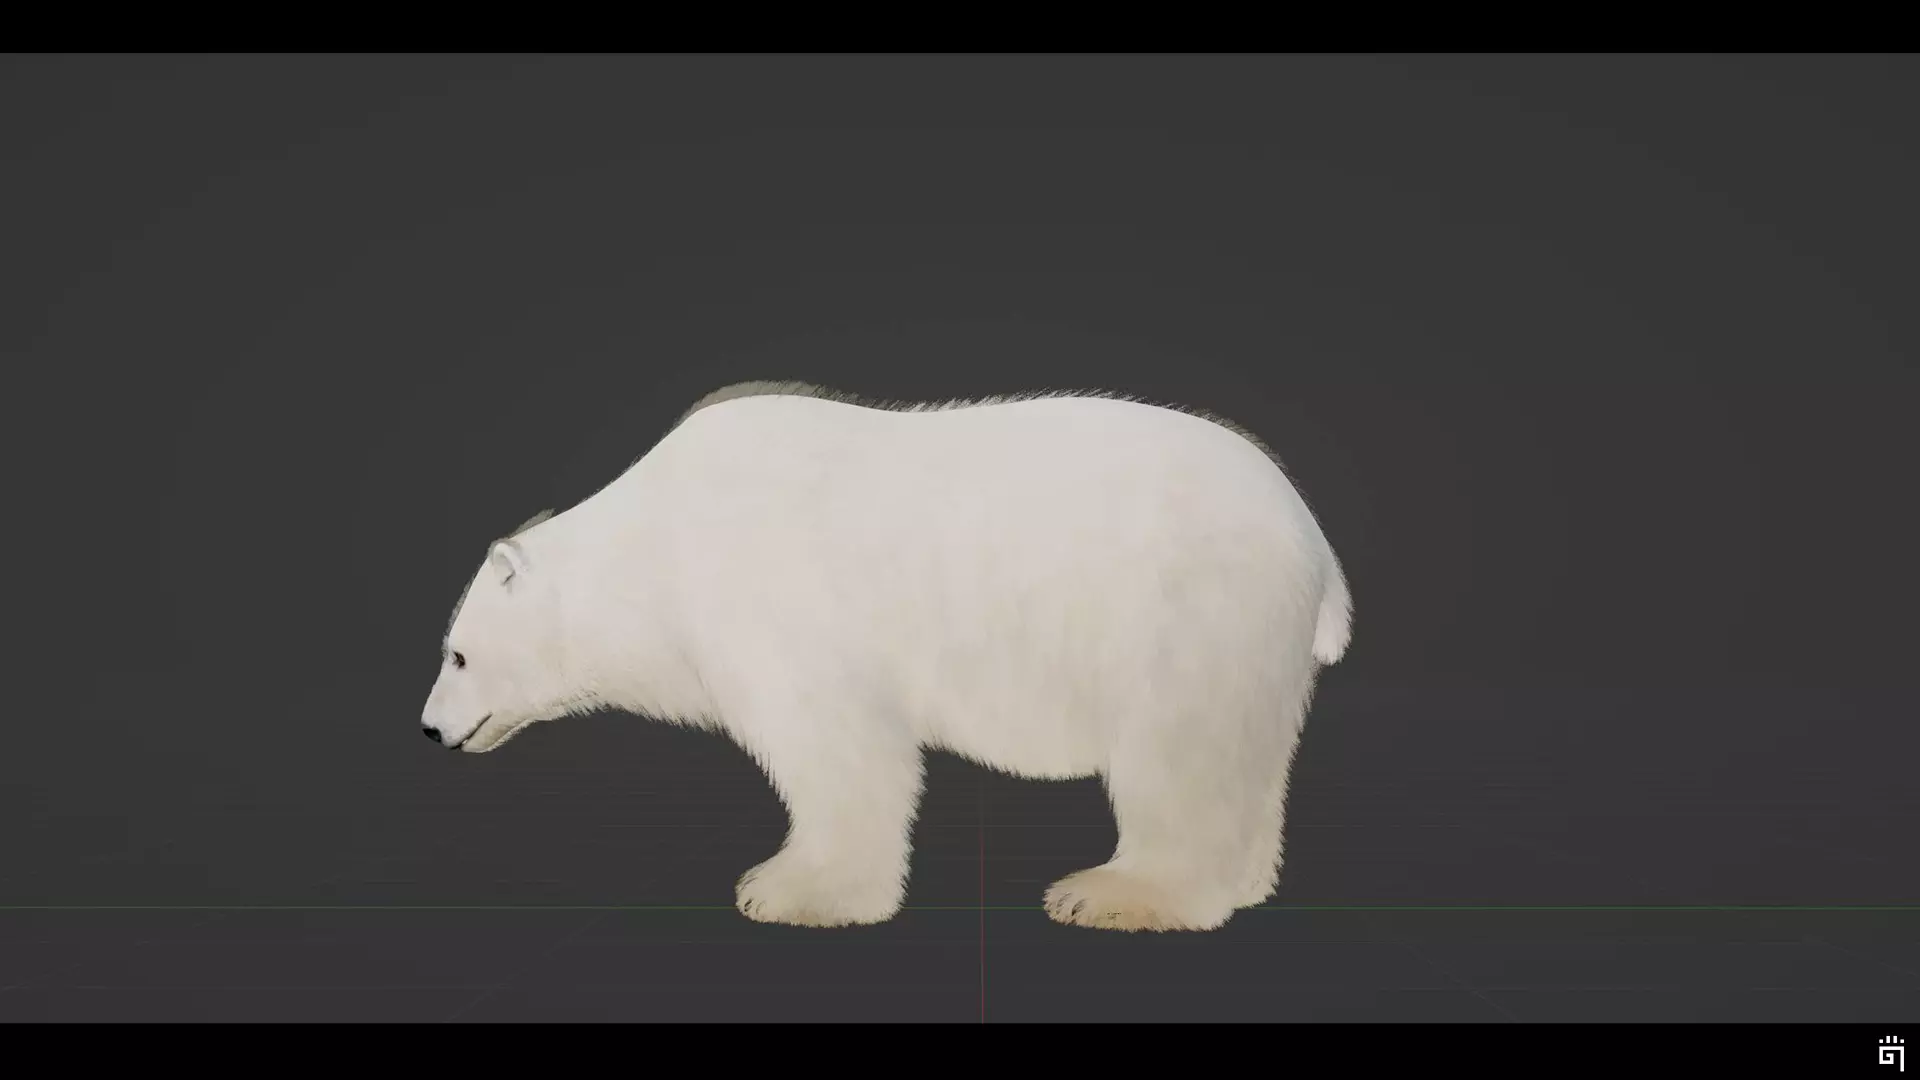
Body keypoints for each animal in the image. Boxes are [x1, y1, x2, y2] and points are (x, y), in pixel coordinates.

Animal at [419, 381, 1352, 932]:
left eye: (456, 655)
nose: (428, 729)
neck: (659, 539)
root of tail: (1316, 542)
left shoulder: (776, 607)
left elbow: (838, 750)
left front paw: (787, 890)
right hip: (1252, 642)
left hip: (1187, 612)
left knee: (1179, 753)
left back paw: (1116, 893)